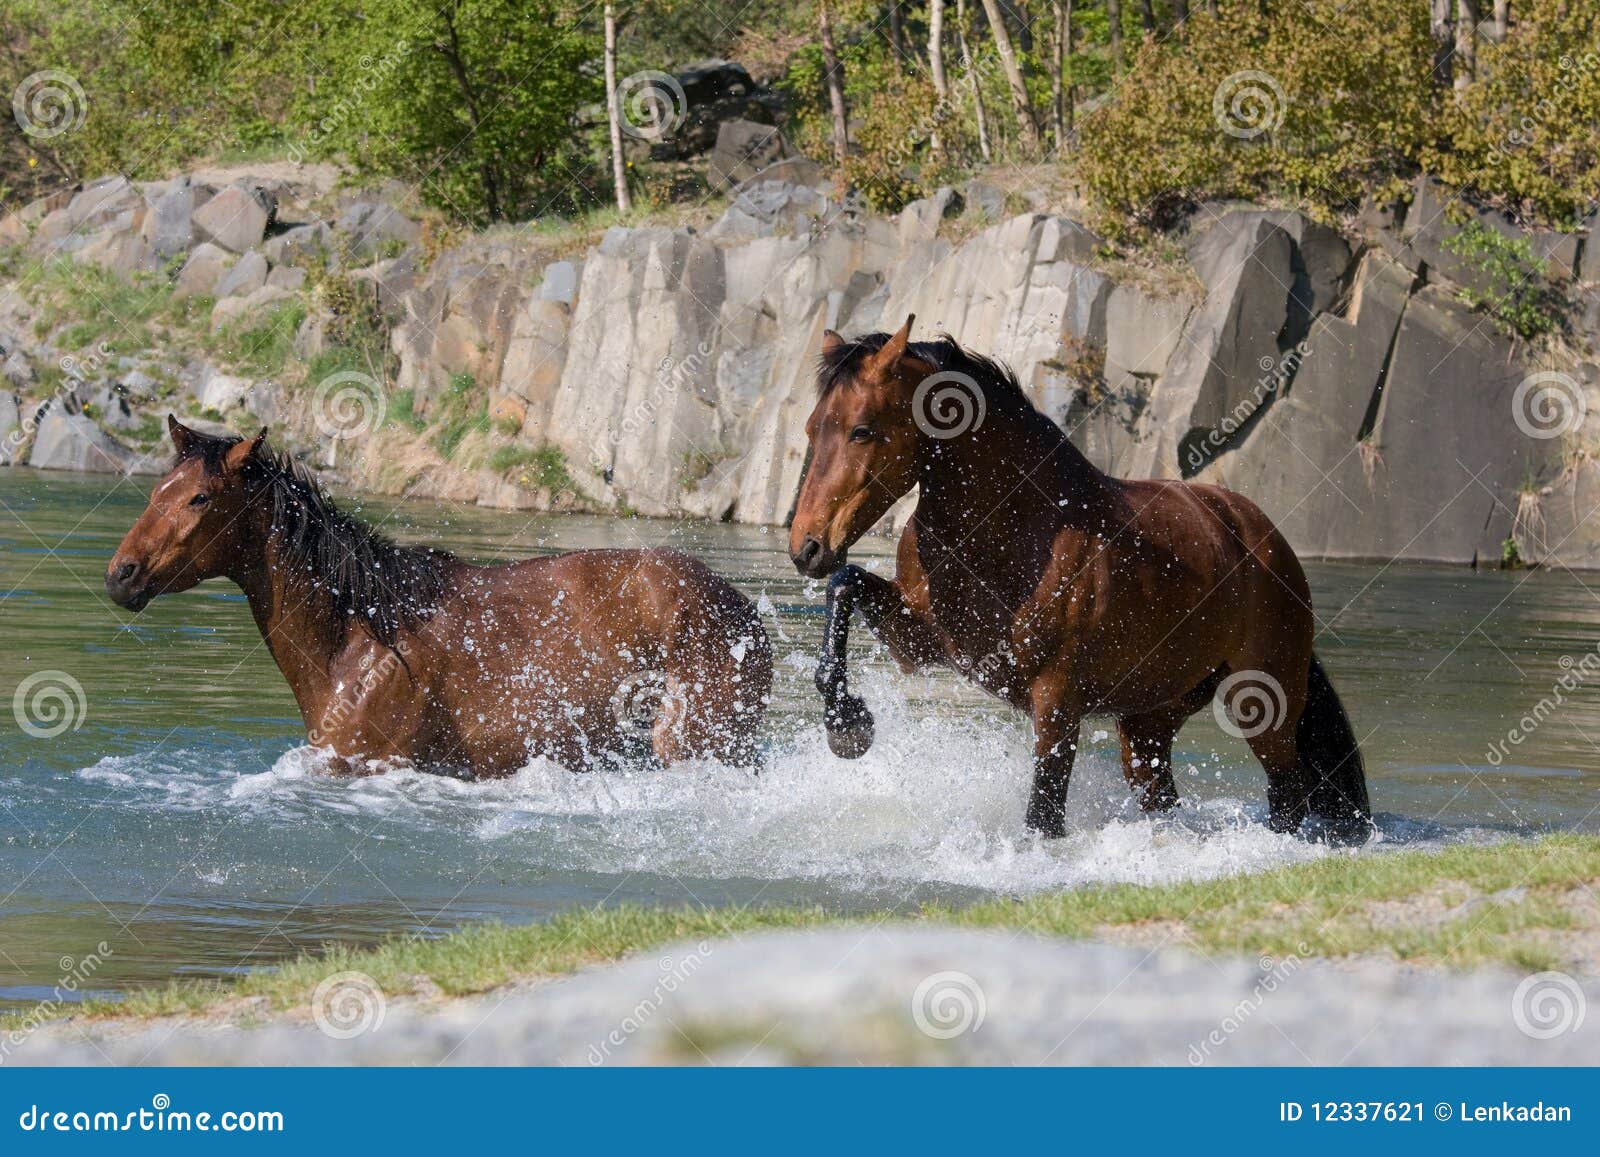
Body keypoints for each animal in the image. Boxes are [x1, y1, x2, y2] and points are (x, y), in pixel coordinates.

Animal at [106, 417, 772, 775]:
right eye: (157, 489)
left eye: (198, 498)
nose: (121, 574)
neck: (357, 641)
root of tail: (743, 611)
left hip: (694, 740)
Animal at [788, 317, 1371, 842]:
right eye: (812, 428)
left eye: (862, 429)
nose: (806, 548)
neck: (1013, 531)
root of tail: (1259, 535)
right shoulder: (923, 642)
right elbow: (846, 584)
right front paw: (847, 724)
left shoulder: (1057, 704)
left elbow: (1043, 818)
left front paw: (847, 724)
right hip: (1148, 722)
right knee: (1163, 792)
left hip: (1262, 703)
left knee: (1287, 790)